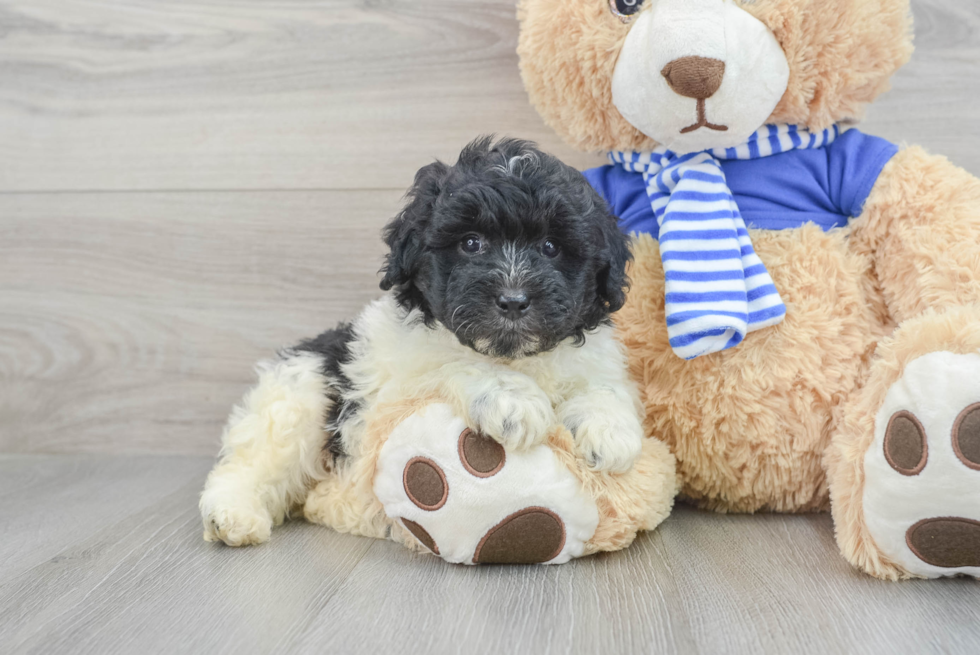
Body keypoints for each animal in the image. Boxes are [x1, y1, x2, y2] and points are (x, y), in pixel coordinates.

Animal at [201, 138, 644, 548]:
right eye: (470, 243)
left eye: (551, 247)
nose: (513, 300)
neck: (513, 357)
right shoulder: (392, 392)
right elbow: (450, 363)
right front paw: (512, 401)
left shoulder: (595, 359)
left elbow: (604, 386)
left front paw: (610, 431)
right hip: (299, 399)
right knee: (254, 460)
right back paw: (232, 514)